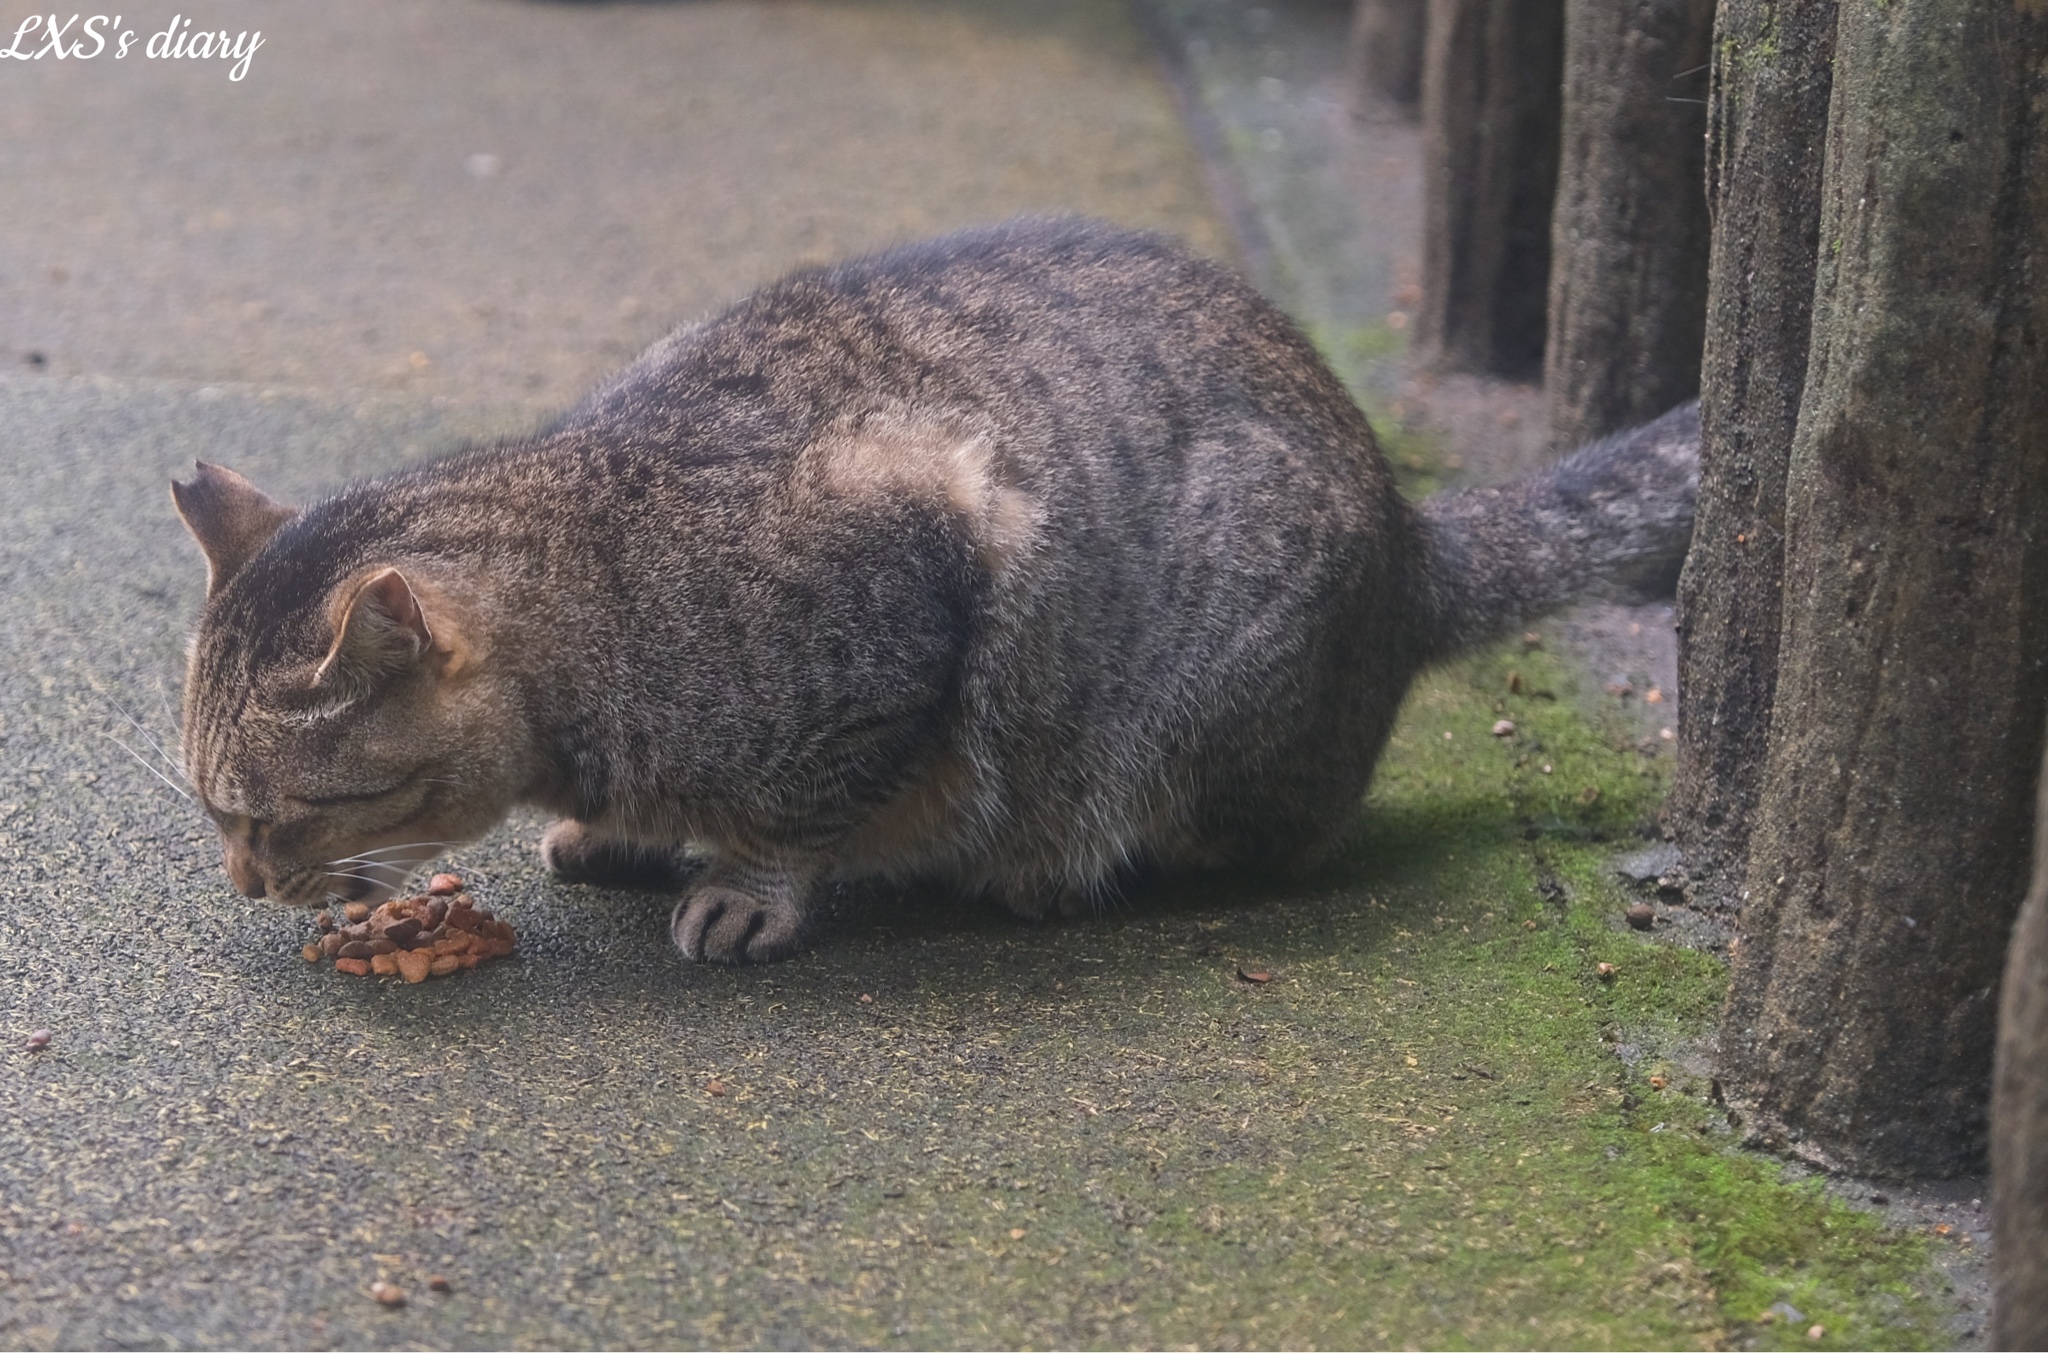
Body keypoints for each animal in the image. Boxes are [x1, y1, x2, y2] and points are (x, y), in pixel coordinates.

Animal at [172, 219, 1695, 962]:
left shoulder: (920, 573)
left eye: (271, 816)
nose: (243, 881)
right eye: (218, 816)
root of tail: (1403, 529)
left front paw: (745, 881)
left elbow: (802, 807)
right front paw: (623, 832)